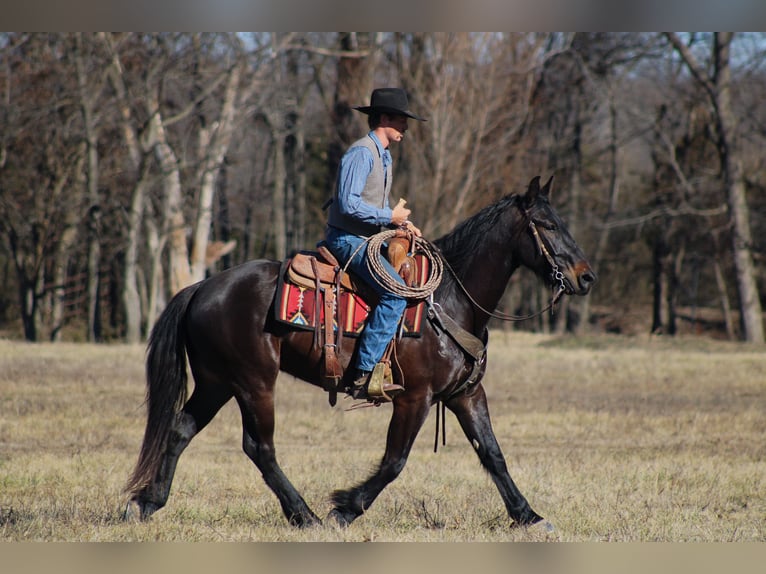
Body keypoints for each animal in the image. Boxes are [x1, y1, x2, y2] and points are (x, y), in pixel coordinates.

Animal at [123, 175, 596, 529]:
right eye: (547, 225)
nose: (586, 277)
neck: (448, 299)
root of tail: (203, 286)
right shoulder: (415, 398)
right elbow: (394, 461)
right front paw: (345, 507)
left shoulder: (465, 394)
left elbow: (493, 454)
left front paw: (529, 515)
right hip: (253, 382)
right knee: (260, 447)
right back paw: (305, 515)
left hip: (216, 382)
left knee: (181, 429)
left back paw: (146, 502)